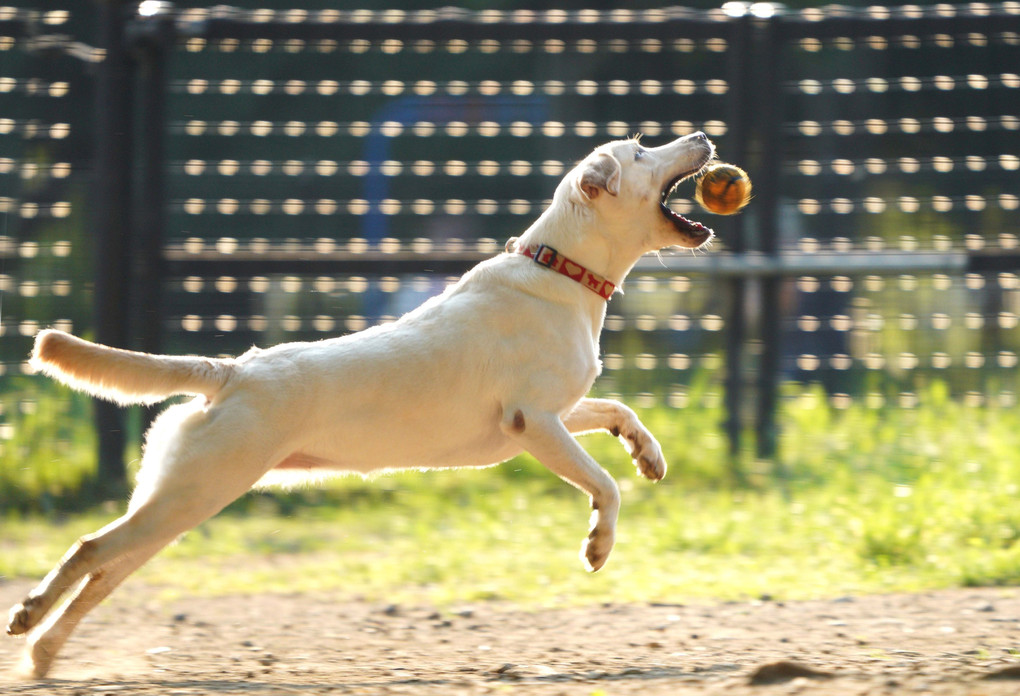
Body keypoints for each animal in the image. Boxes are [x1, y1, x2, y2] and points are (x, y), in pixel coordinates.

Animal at [5, 130, 718, 673]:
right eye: (641, 151)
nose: (703, 136)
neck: (561, 271)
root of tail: (231, 371)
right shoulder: (533, 422)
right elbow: (604, 485)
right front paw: (598, 544)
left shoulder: (560, 414)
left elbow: (619, 413)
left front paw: (648, 455)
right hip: (186, 499)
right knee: (88, 550)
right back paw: (28, 617)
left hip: (176, 507)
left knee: (100, 577)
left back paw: (44, 655)